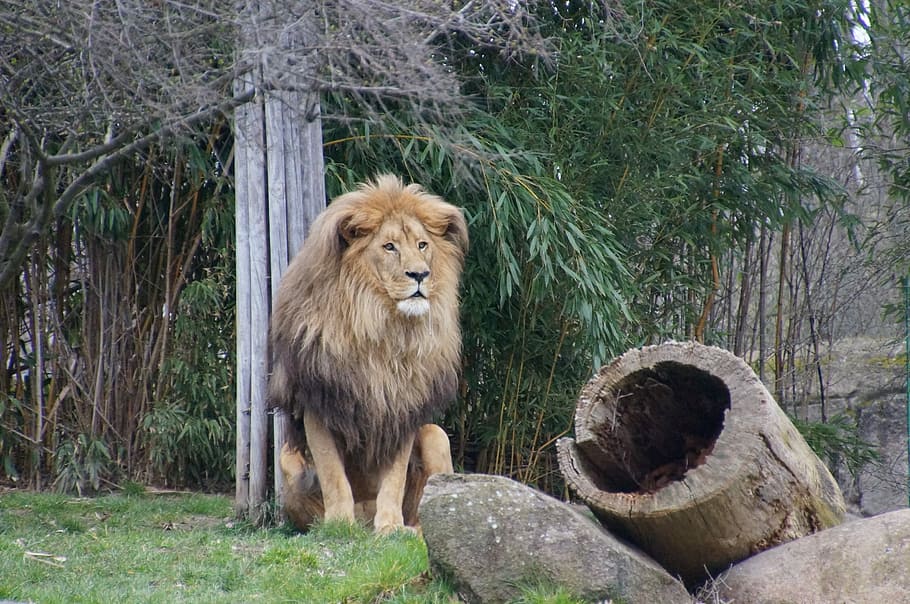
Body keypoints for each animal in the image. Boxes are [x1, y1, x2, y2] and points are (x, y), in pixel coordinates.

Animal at [268, 174, 468, 534]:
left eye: (422, 245)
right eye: (389, 247)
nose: (420, 274)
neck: (379, 325)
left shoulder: (402, 407)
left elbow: (394, 477)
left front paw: (389, 527)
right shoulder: (318, 403)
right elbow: (333, 473)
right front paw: (338, 526)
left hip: (436, 436)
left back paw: (412, 529)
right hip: (288, 459)